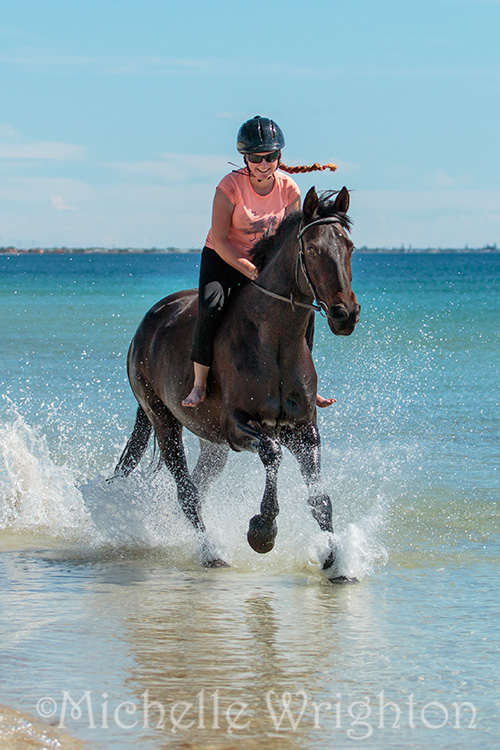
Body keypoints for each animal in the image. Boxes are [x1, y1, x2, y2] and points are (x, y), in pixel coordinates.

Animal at [111, 187, 360, 580]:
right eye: (313, 249)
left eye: (348, 246)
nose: (344, 315)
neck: (274, 341)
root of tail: (146, 327)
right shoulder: (239, 426)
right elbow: (272, 453)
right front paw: (262, 532)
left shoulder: (304, 430)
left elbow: (319, 498)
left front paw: (334, 562)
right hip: (165, 422)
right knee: (186, 492)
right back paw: (211, 553)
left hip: (211, 441)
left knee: (198, 486)